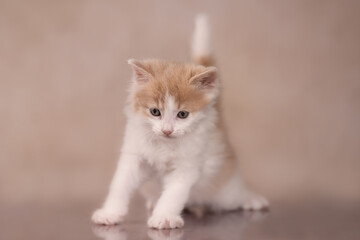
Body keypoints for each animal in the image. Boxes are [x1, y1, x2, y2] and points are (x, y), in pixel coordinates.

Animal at [91, 14, 268, 229]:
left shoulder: (188, 165)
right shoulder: (133, 156)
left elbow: (174, 193)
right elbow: (120, 184)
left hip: (223, 192)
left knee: (234, 196)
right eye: (155, 112)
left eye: (182, 114)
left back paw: (253, 199)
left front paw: (164, 217)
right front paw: (110, 213)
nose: (167, 130)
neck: (164, 145)